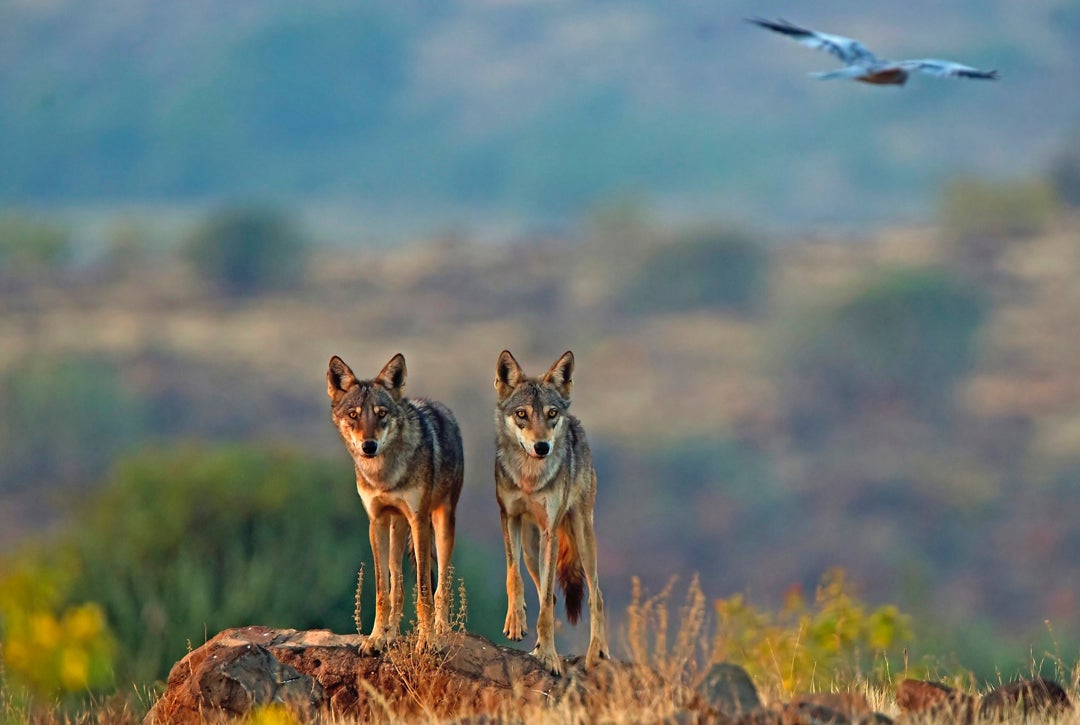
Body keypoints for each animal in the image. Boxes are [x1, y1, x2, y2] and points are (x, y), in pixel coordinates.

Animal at [327, 353, 464, 653]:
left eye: (381, 414)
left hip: (442, 524)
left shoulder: (419, 520)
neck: (385, 475)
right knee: (397, 587)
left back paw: (442, 630)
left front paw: (427, 641)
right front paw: (376, 638)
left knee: (441, 586)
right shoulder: (376, 521)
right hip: (395, 530)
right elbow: (382, 590)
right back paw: (391, 635)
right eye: (353, 415)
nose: (368, 446)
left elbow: (424, 590)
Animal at [493, 349, 609, 676]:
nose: (542, 446)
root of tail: (577, 424)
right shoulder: (508, 518)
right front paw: (515, 623)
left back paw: (597, 653)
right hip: (532, 549)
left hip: (582, 537)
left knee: (596, 595)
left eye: (551, 414)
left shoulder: (550, 533)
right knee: (555, 596)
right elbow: (513, 576)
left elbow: (545, 604)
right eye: (522, 414)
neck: (530, 477)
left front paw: (550, 658)